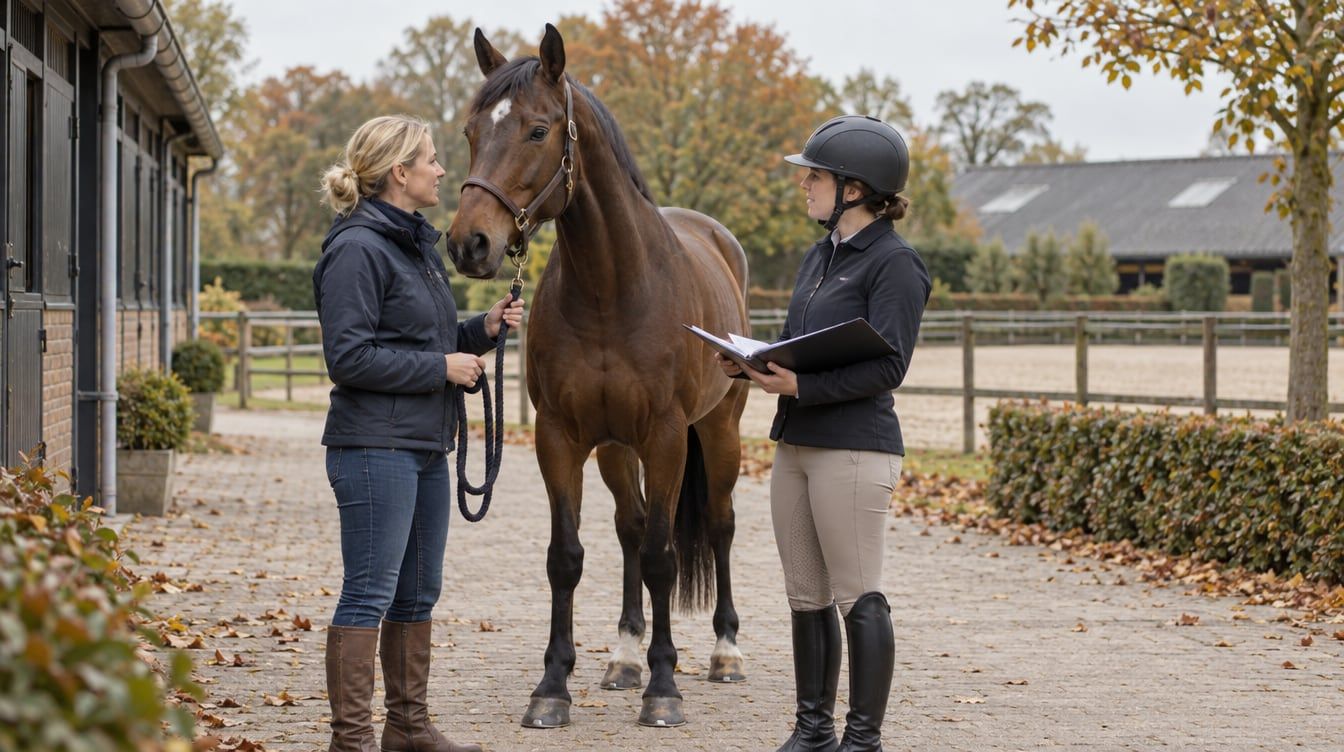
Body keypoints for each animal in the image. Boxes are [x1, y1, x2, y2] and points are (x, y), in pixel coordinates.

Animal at [445, 24, 751, 730]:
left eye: (537, 130)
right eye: (471, 131)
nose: (469, 244)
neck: (612, 289)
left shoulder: (666, 438)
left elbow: (665, 557)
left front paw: (664, 689)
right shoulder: (562, 437)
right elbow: (568, 558)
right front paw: (553, 687)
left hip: (718, 430)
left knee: (717, 524)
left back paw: (723, 652)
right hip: (615, 448)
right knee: (630, 527)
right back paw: (625, 657)